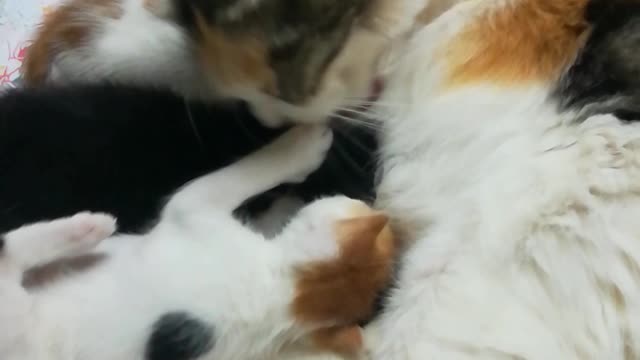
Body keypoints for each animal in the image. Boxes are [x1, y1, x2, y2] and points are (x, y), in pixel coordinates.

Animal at [0, 124, 398, 360]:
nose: (364, 200)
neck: (287, 292)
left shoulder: (190, 208)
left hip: (15, 313)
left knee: (11, 256)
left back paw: (88, 228)